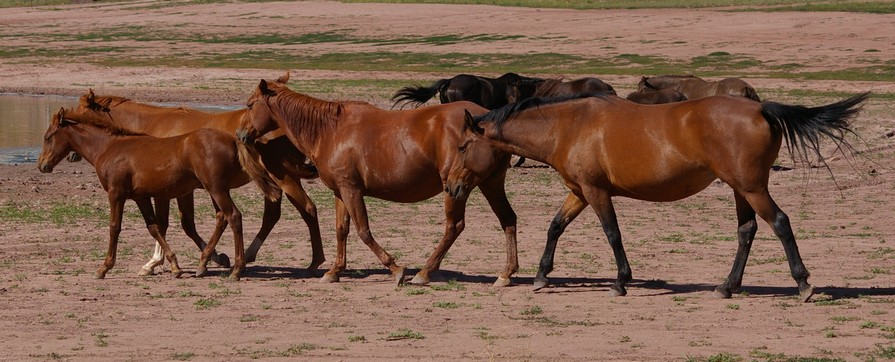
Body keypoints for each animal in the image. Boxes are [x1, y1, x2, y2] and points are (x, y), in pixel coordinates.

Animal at [38, 109, 276, 280]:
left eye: (48, 137)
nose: (42, 165)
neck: (110, 147)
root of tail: (233, 139)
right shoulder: (140, 197)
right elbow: (154, 227)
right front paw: (173, 266)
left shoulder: (116, 194)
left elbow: (114, 228)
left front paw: (104, 268)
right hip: (217, 189)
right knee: (222, 218)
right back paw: (203, 265)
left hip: (216, 189)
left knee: (233, 217)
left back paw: (236, 270)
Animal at [66, 82, 326, 274]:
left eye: (74, 116)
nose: (71, 154)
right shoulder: (181, 190)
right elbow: (183, 224)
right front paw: (213, 257)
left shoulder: (166, 191)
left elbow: (169, 224)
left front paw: (156, 262)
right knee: (273, 214)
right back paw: (250, 254)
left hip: (284, 177)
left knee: (307, 209)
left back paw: (314, 261)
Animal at [238, 78, 520, 286]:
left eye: (250, 105)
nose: (240, 134)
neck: (330, 130)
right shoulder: (340, 192)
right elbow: (342, 230)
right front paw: (335, 270)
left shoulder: (352, 190)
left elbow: (363, 231)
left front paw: (396, 269)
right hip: (490, 183)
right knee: (507, 219)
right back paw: (506, 273)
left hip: (456, 188)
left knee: (454, 226)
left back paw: (424, 272)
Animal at [448, 92, 868, 302]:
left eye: (464, 146)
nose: (451, 186)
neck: (569, 126)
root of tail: (761, 108)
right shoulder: (579, 192)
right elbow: (555, 228)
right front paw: (540, 276)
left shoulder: (596, 192)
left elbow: (612, 234)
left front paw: (620, 281)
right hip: (740, 189)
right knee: (747, 231)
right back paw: (727, 287)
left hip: (752, 188)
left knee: (779, 223)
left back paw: (803, 285)